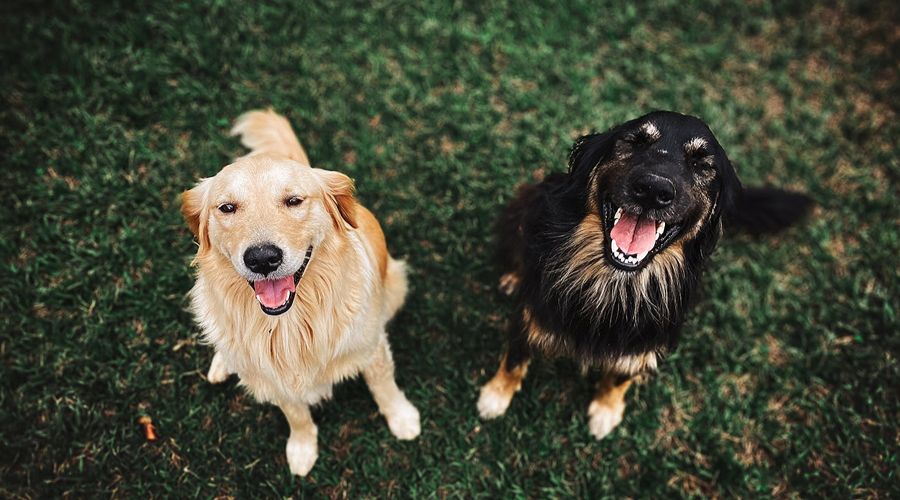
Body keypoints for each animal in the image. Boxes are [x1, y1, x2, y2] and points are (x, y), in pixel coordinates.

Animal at [184, 109, 426, 476]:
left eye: (294, 201)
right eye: (226, 208)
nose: (262, 258)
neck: (290, 324)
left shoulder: (371, 346)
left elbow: (384, 386)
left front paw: (401, 418)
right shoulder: (277, 380)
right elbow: (296, 414)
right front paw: (301, 448)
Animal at [478, 110, 816, 438]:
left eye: (700, 163)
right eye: (636, 142)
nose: (654, 190)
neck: (616, 281)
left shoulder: (645, 341)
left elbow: (620, 376)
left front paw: (606, 411)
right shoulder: (531, 313)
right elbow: (515, 358)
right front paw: (495, 396)